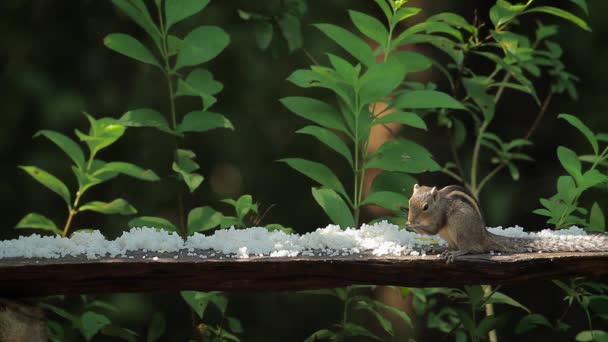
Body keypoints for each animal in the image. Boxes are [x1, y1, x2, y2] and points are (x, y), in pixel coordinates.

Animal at [404, 184, 608, 262]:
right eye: (409, 201)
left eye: (425, 207)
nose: (410, 220)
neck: (440, 203)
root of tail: (483, 235)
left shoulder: (440, 218)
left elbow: (433, 229)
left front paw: (414, 226)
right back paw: (442, 249)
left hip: (460, 228)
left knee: (471, 248)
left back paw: (456, 253)